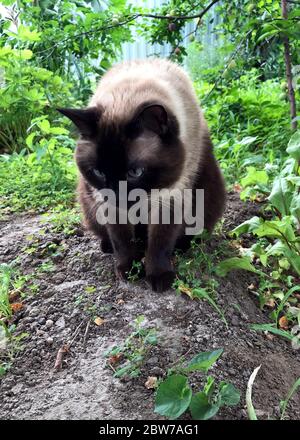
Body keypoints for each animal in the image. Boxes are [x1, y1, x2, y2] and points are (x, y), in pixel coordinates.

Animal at [59, 58, 225, 292]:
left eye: (135, 172)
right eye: (99, 172)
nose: (117, 197)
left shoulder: (170, 196)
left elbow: (160, 242)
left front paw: (158, 276)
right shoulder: (110, 207)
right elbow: (121, 241)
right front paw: (129, 270)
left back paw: (181, 247)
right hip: (89, 200)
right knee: (111, 235)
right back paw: (108, 246)